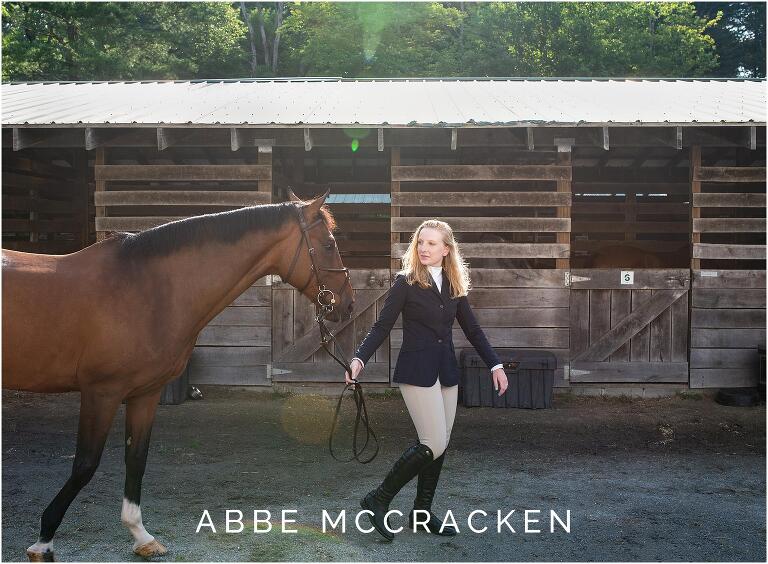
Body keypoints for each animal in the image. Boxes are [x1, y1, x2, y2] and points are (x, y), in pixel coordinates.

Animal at [2, 188, 354, 561]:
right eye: (328, 244)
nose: (347, 304)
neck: (147, 289)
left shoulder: (145, 393)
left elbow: (136, 459)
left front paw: (141, 535)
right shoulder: (101, 393)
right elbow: (84, 464)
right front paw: (44, 540)